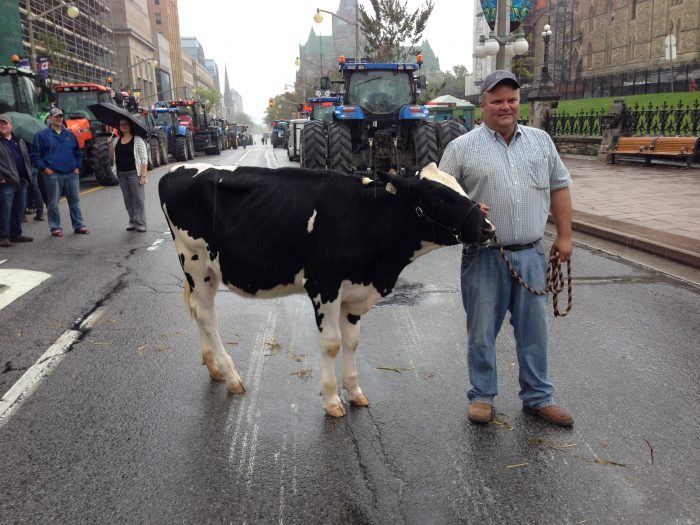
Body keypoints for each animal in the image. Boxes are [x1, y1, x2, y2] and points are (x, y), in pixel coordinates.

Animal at [161, 162, 494, 416]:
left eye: (460, 187)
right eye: (438, 197)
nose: (488, 227)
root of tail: (175, 171)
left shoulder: (355, 292)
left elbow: (353, 342)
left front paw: (355, 391)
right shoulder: (325, 286)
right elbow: (332, 343)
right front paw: (333, 400)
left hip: (210, 270)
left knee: (197, 311)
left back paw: (214, 367)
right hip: (195, 263)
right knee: (207, 316)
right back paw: (232, 377)